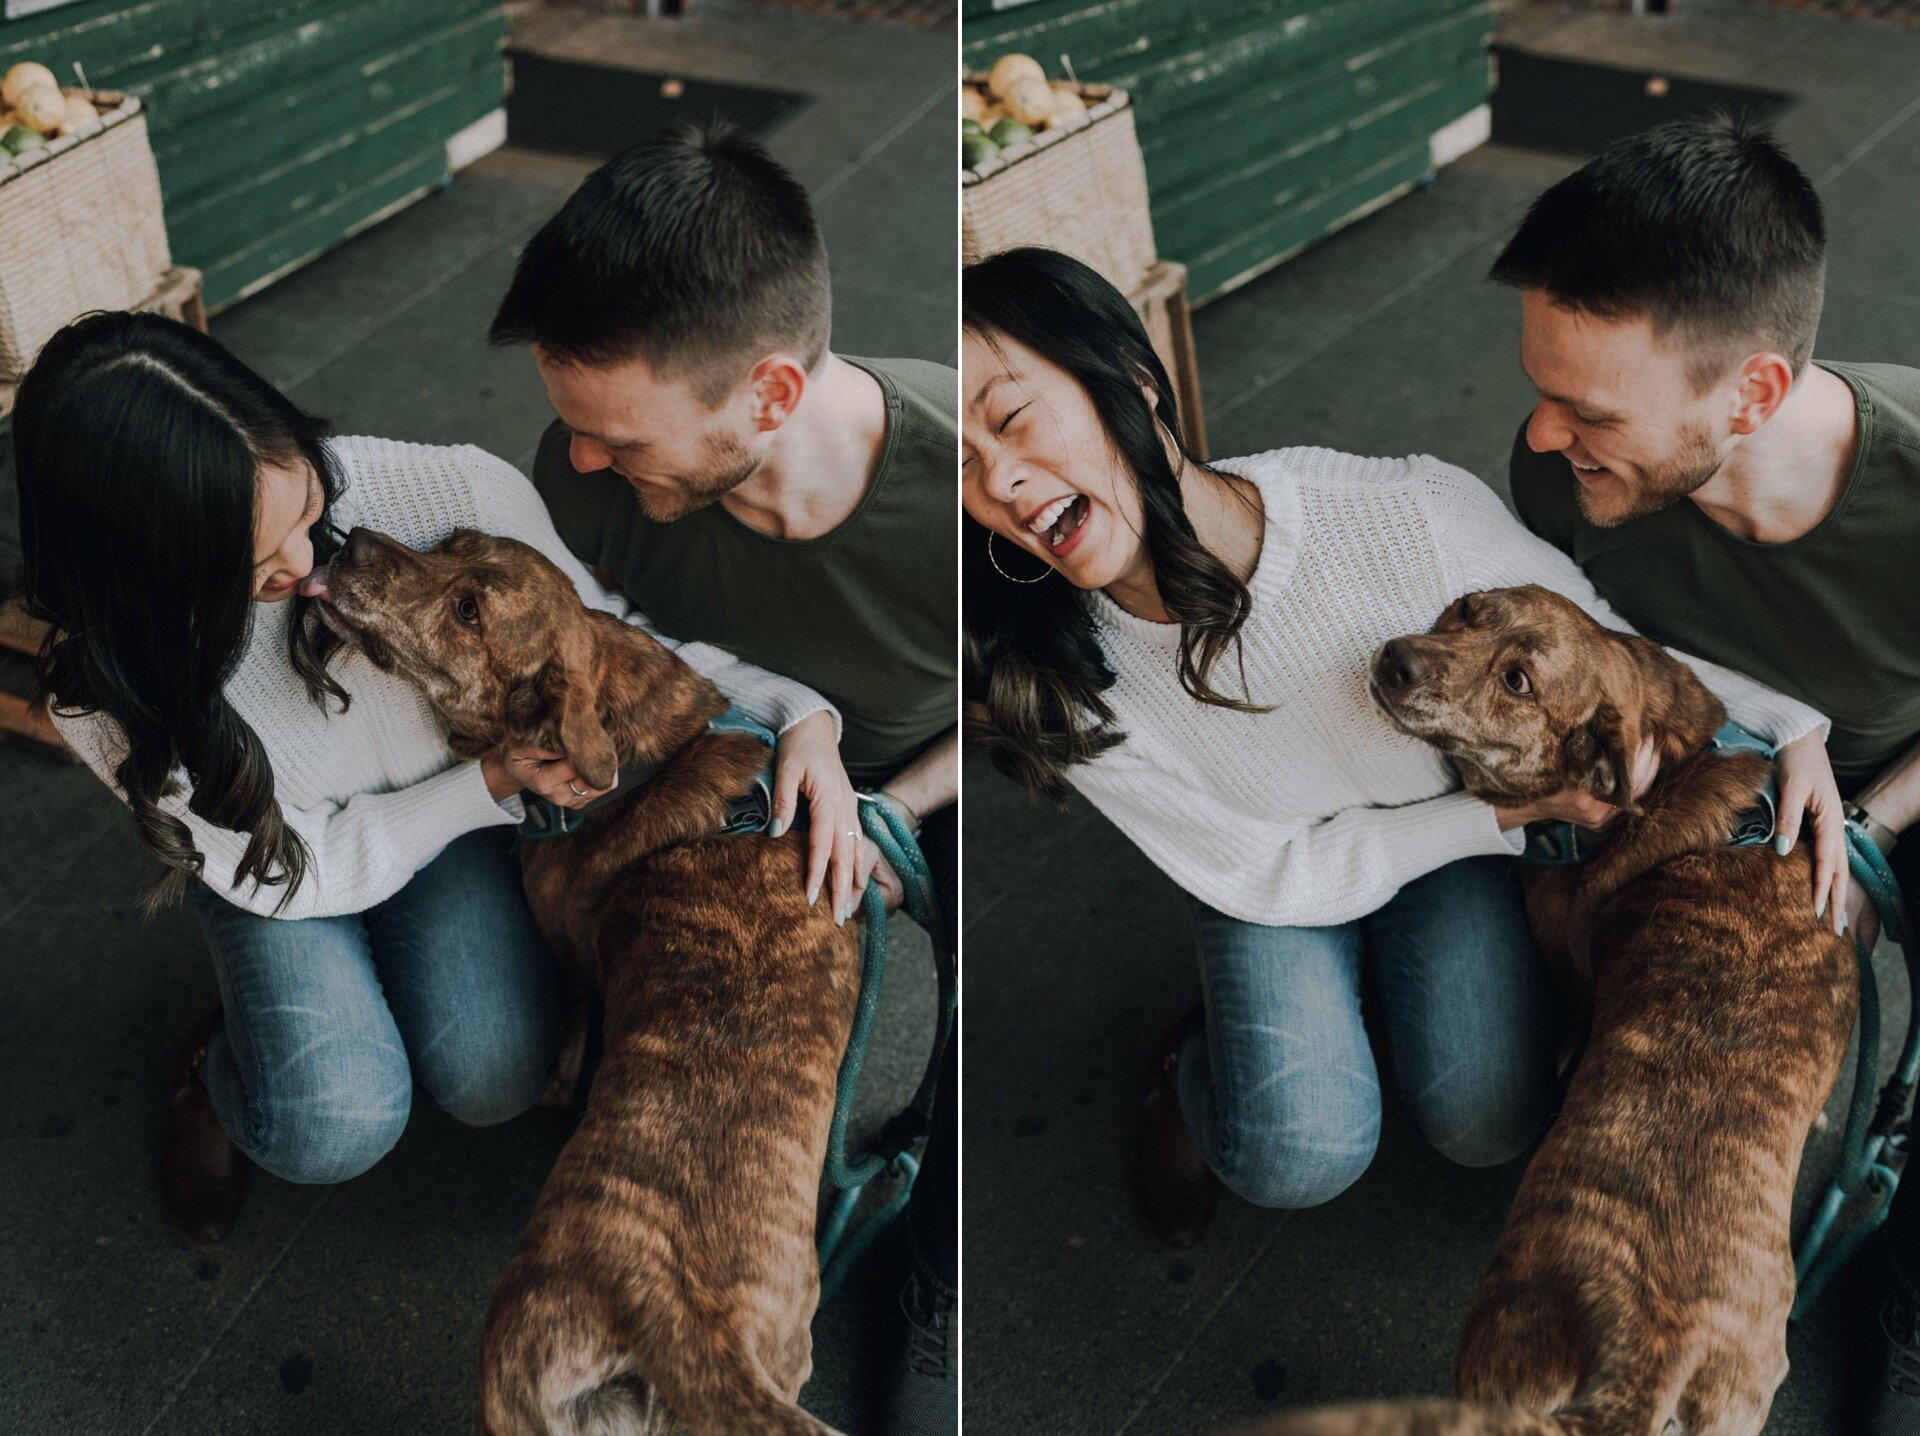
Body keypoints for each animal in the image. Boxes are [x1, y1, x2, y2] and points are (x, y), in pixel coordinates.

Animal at [314, 526, 856, 1436]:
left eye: (469, 611)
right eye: (453, 541)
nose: (348, 541)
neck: (646, 748)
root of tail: (680, 1321)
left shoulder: (567, 951)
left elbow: (571, 1026)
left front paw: (557, 1093)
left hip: (508, 1377)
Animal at [1244, 579, 1858, 1436]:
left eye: (1518, 683)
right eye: (1467, 609)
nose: (1397, 659)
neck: (1669, 778)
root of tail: (1643, 1378)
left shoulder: (1564, 959)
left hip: (1493, 1345)